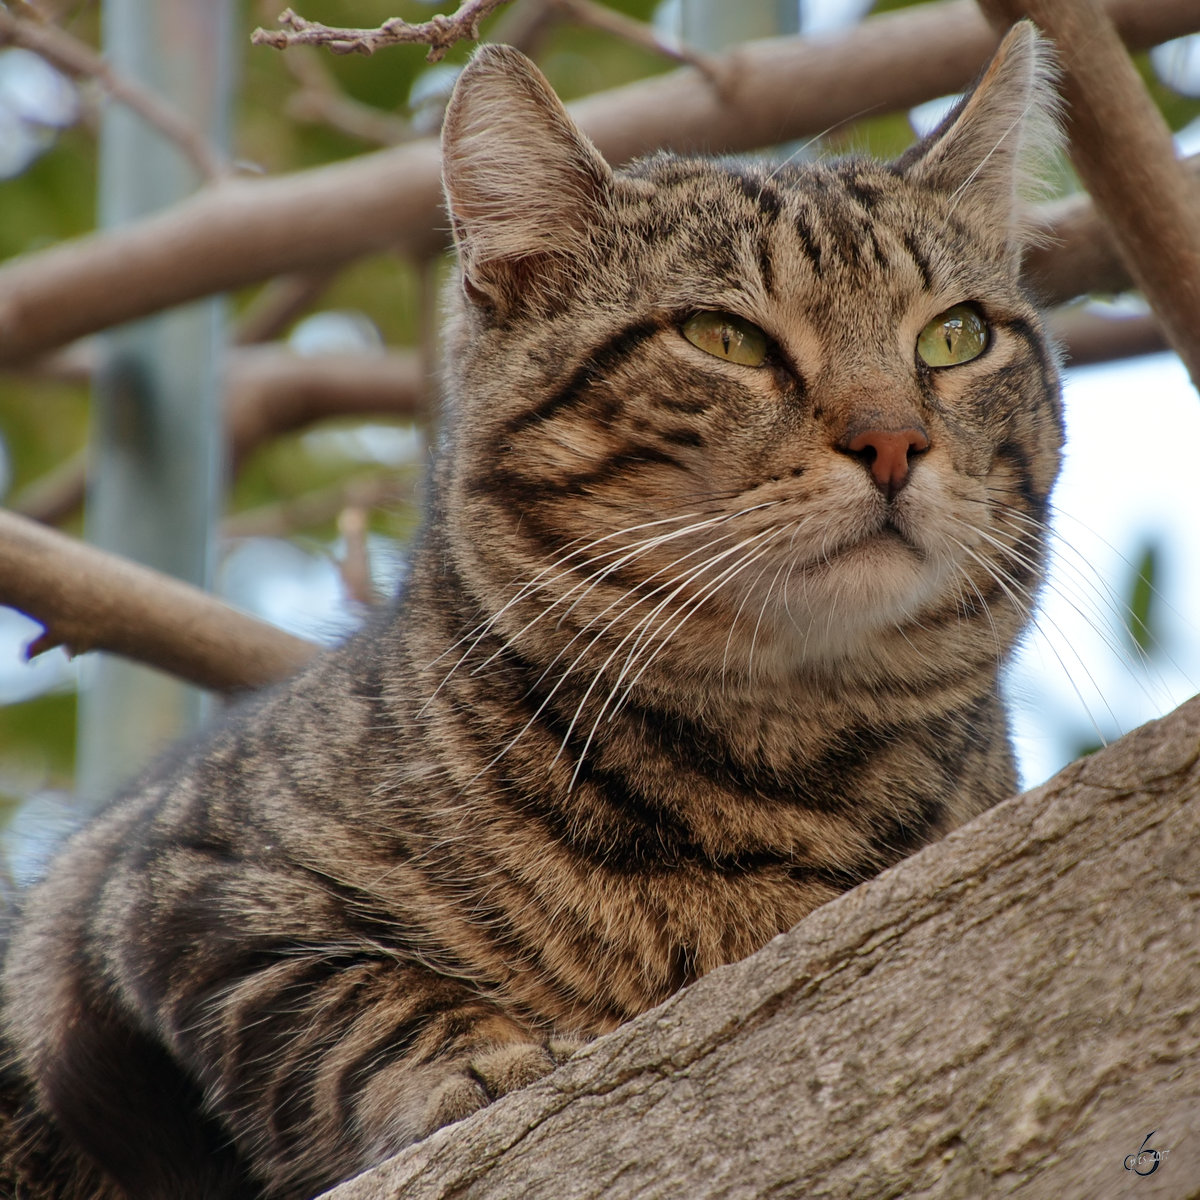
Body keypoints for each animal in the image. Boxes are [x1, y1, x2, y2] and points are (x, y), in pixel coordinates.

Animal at [0, 23, 1060, 1200]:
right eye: (723, 338)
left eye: (955, 338)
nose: (893, 440)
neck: (788, 763)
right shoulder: (177, 894)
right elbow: (352, 996)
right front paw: (478, 1064)